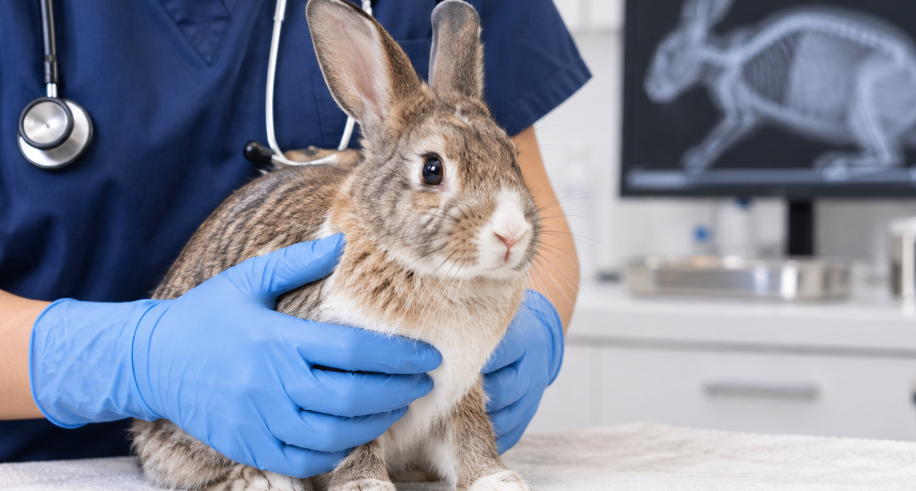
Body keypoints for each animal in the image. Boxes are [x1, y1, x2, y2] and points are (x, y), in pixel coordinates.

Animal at [645, 0, 916, 179]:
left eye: (669, 54)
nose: (651, 89)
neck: (721, 60)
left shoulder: (740, 113)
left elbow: (726, 130)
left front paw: (696, 161)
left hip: (865, 96)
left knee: (891, 156)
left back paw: (839, 167)